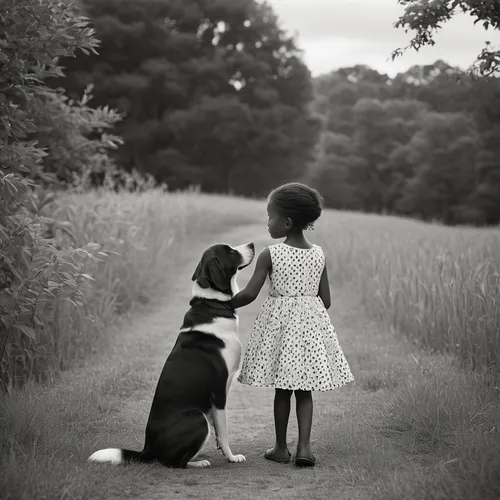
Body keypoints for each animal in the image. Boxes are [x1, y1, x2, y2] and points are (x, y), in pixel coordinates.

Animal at [86, 242, 256, 468]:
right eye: (229, 251)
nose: (252, 245)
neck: (211, 302)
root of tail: (148, 449)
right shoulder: (219, 392)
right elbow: (224, 430)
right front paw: (231, 456)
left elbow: (219, 432)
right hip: (198, 418)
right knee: (174, 463)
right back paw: (197, 463)